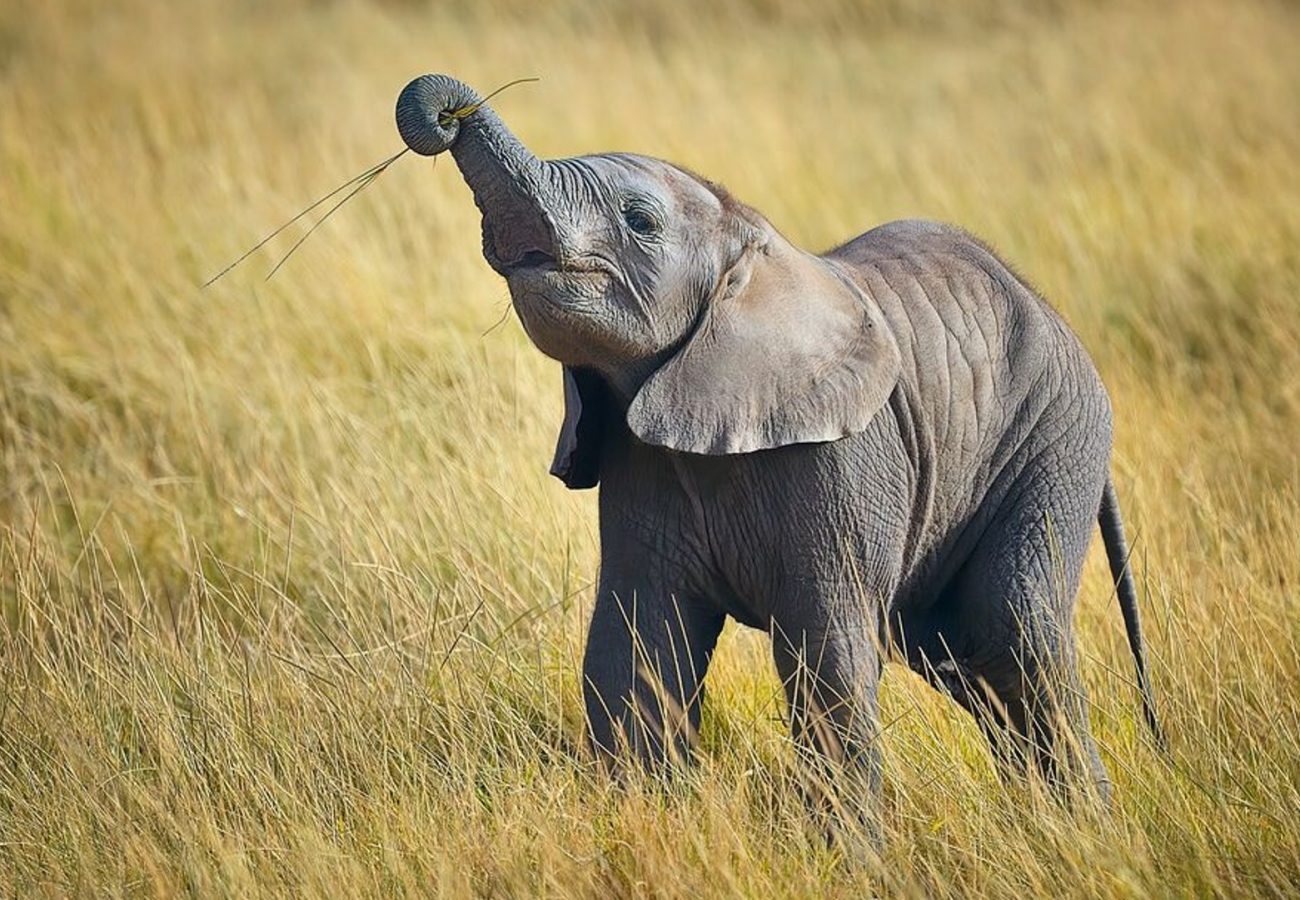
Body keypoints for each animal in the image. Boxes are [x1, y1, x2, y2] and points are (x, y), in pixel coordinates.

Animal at [394, 74, 1162, 811]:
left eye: (640, 221)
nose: (447, 115)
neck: (756, 247)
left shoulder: (842, 461)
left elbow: (828, 656)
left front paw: (852, 849)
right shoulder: (641, 466)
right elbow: (635, 646)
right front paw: (643, 819)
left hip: (1053, 439)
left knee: (1013, 630)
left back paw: (1086, 829)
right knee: (962, 655)